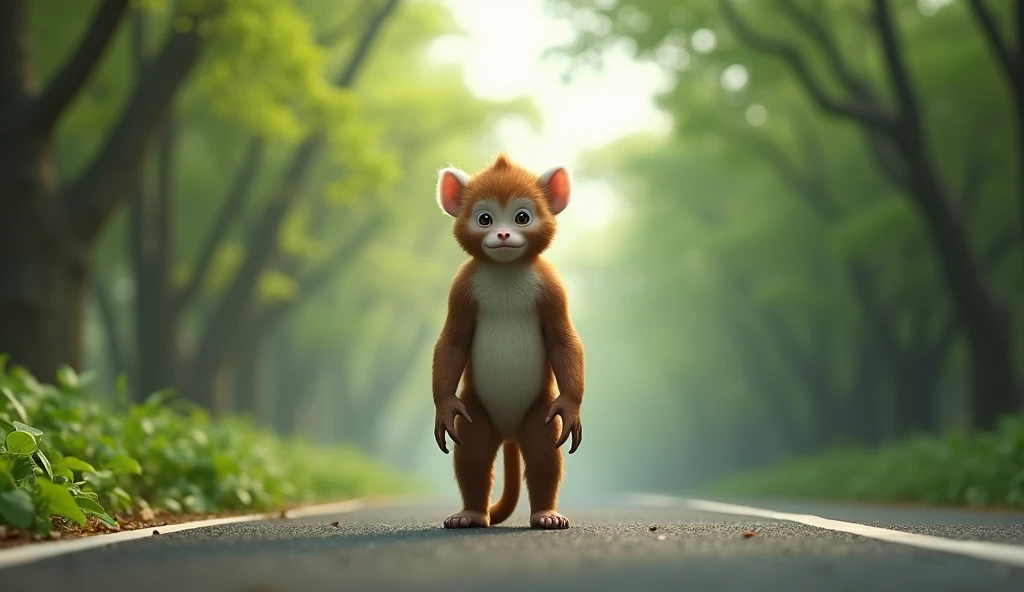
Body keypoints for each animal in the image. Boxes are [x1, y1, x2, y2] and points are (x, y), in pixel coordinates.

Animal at [431, 152, 585, 531]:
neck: (505, 271)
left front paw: (571, 406)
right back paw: (471, 514)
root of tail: (509, 433)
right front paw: (443, 407)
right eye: (484, 218)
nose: (502, 233)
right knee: (472, 452)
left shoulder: (552, 287)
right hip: (477, 412)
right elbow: (452, 342)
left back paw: (546, 514)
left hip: (538, 412)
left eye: (522, 217)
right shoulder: (461, 288)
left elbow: (563, 341)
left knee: (544, 453)